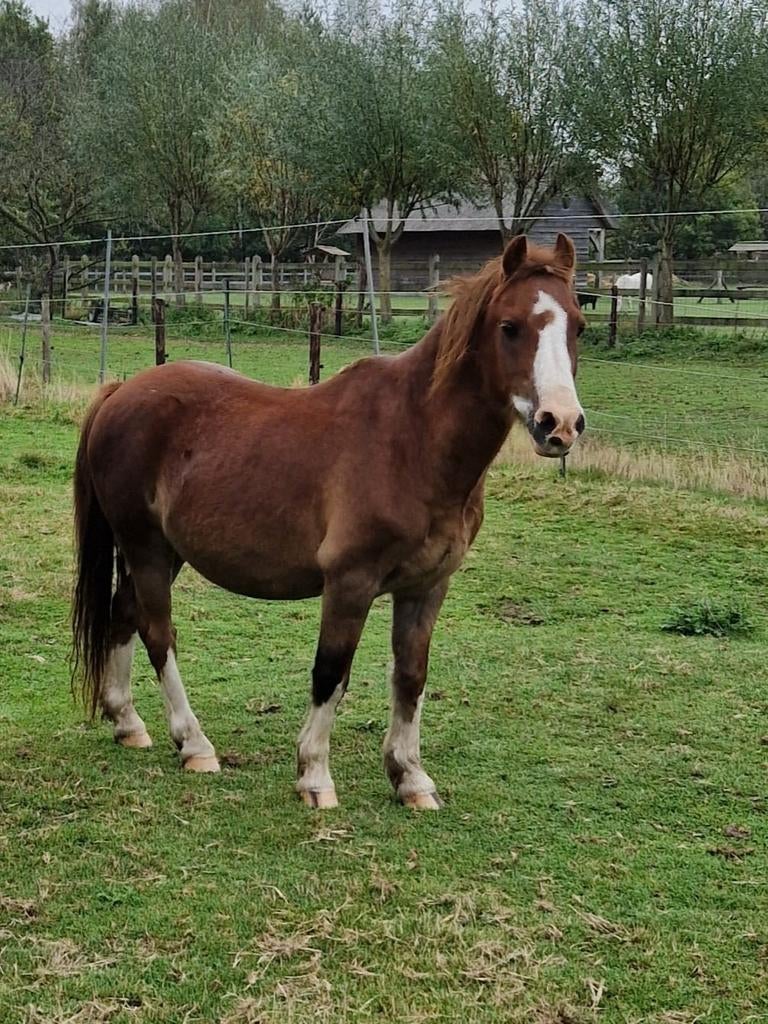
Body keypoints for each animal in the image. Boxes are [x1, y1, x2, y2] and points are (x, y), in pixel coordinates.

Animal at [72, 233, 586, 811]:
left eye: (578, 325)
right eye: (510, 326)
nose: (560, 424)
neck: (413, 440)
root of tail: (120, 393)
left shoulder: (427, 586)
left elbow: (411, 676)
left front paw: (410, 777)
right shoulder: (349, 582)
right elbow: (331, 671)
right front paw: (314, 776)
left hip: (164, 550)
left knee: (123, 614)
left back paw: (128, 723)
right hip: (145, 547)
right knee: (157, 632)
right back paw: (195, 744)